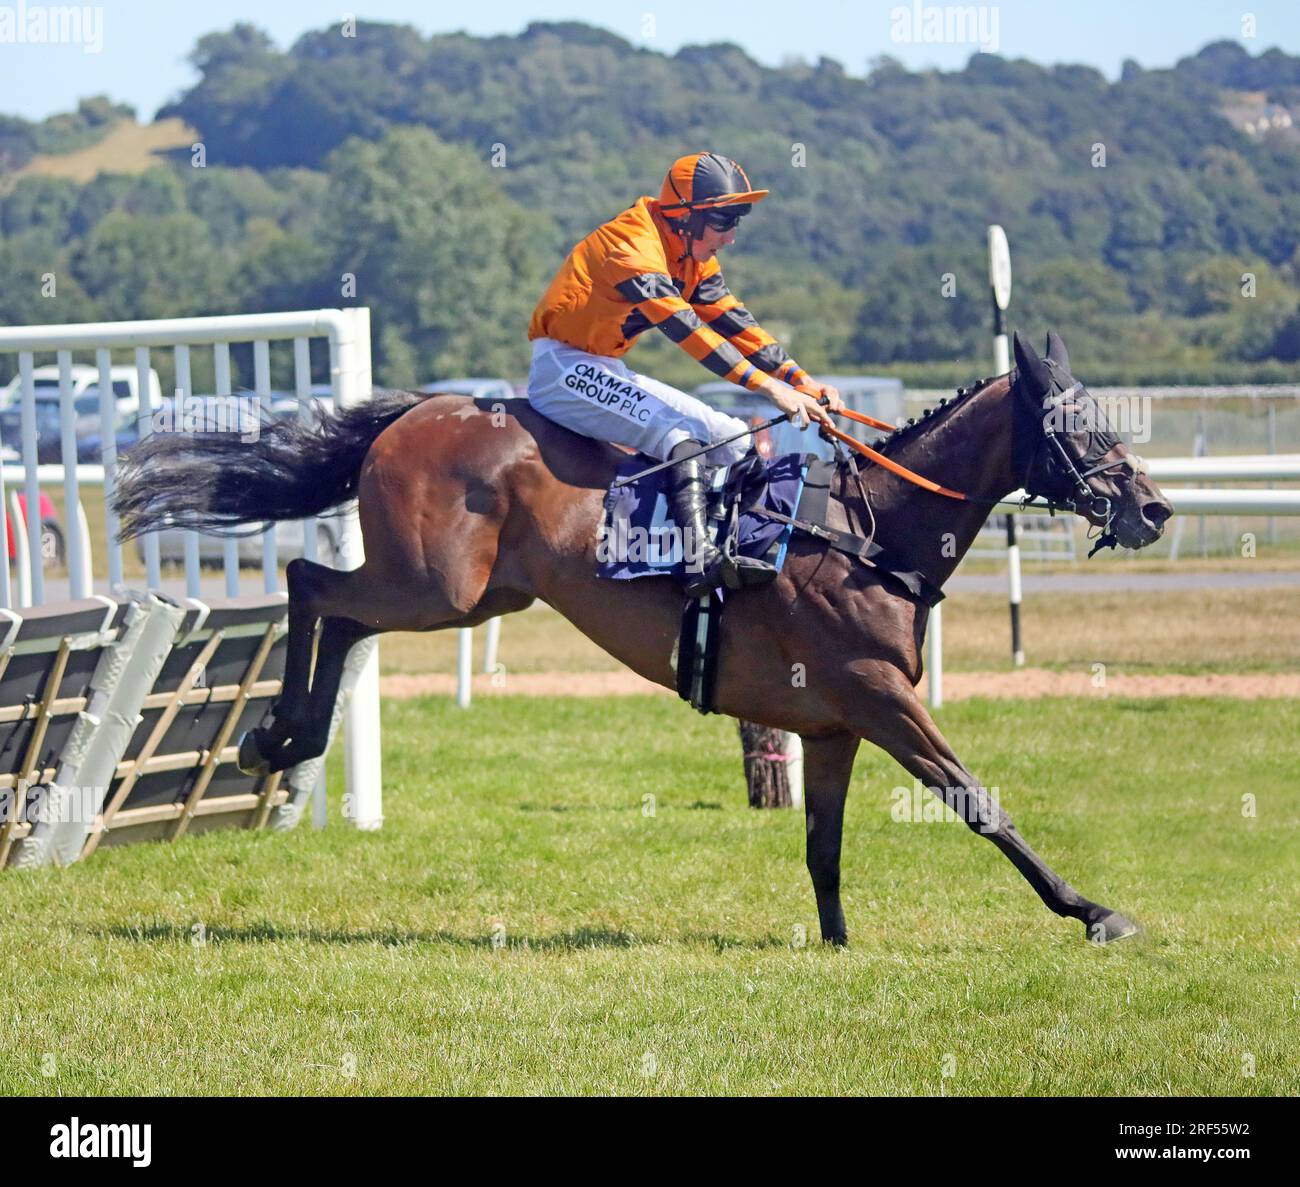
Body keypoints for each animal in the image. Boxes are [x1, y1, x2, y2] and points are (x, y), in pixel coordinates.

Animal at [119, 331, 1180, 946]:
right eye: (1078, 423)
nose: (1156, 508)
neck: (869, 530)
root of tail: (422, 407)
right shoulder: (882, 696)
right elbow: (978, 801)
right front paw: (1092, 910)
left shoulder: (834, 723)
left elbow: (824, 847)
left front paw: (836, 944)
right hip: (433, 586)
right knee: (314, 586)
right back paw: (280, 736)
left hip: (474, 598)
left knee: (335, 608)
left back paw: (283, 739)